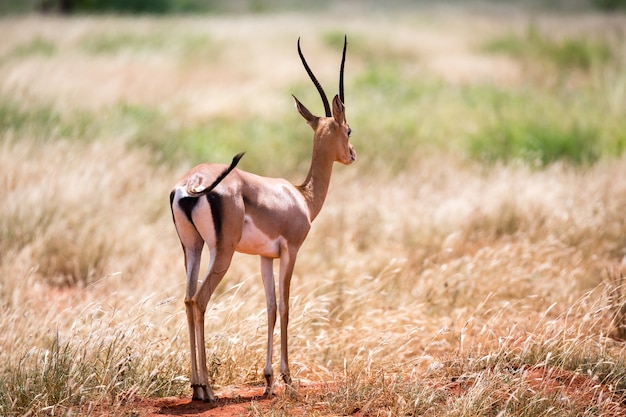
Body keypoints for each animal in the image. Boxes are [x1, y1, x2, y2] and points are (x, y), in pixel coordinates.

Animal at [171, 36, 354, 400]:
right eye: (350, 130)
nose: (352, 155)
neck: (301, 196)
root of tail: (192, 184)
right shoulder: (290, 251)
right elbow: (284, 307)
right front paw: (287, 378)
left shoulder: (264, 258)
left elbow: (269, 308)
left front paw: (269, 381)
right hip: (222, 254)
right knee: (200, 300)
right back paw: (207, 389)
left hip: (193, 249)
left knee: (187, 299)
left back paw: (196, 386)